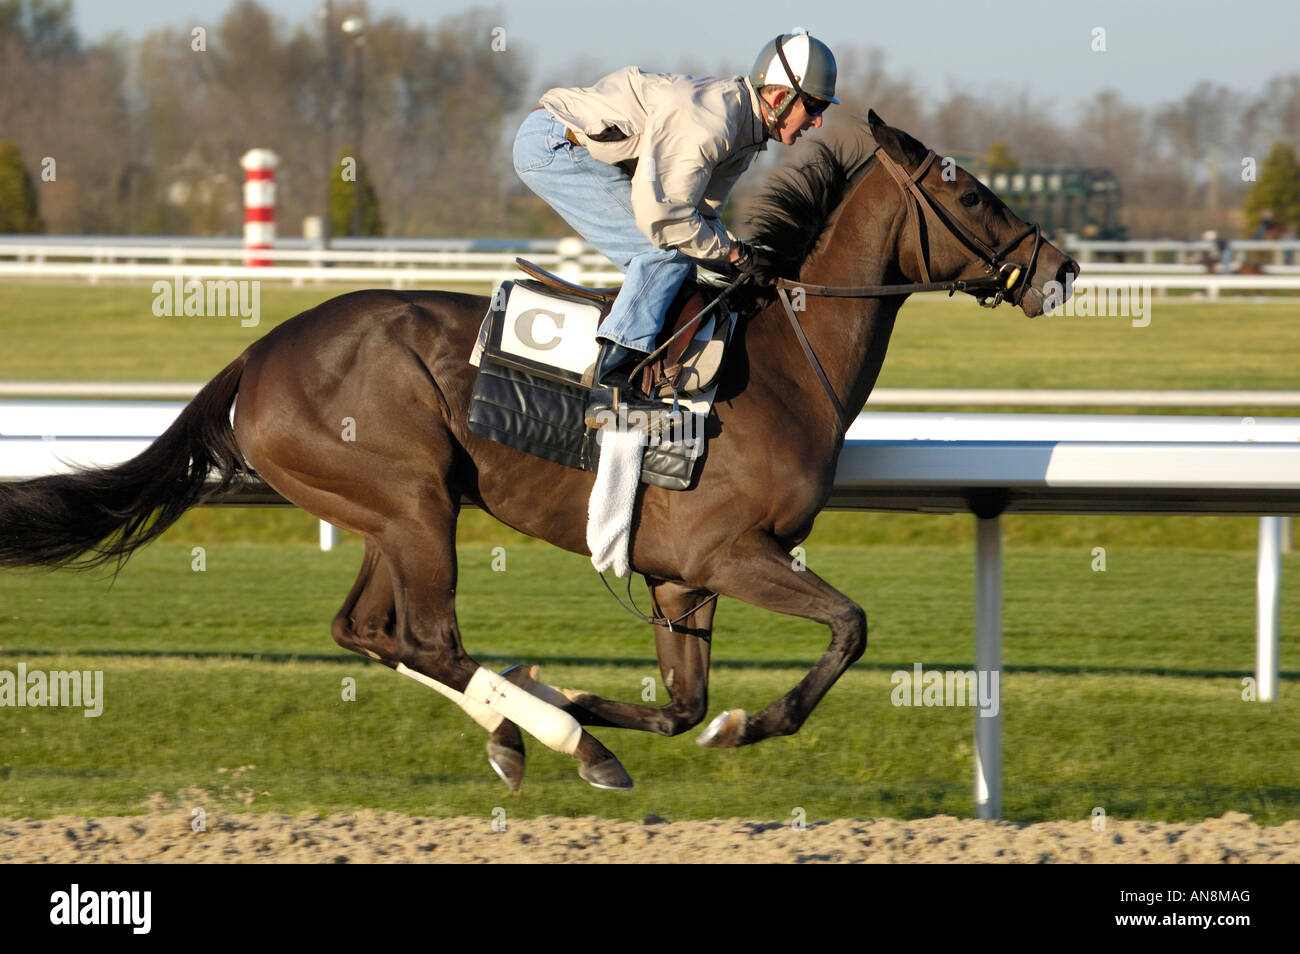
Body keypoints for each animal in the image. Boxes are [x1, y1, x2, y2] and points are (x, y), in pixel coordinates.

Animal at [0, 112, 1078, 792]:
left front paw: (598, 700)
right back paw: (552, 738)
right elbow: (848, 628)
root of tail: (258, 353)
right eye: (974, 195)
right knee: (427, 639)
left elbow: (680, 705)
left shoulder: (679, 576)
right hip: (414, 501)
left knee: (366, 629)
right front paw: (735, 725)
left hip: (382, 512)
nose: (1062, 267)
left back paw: (521, 727)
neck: (777, 363)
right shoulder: (730, 552)